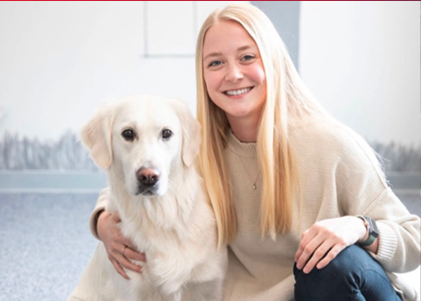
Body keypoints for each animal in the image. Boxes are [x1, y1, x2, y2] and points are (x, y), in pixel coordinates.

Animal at [68, 94, 226, 300]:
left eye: (166, 133)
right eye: (128, 133)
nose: (148, 177)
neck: (158, 216)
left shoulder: (209, 285)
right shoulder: (130, 290)